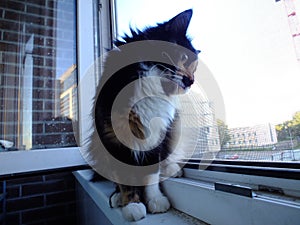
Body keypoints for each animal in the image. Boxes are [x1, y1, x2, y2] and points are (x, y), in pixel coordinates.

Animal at [91, 8, 199, 221]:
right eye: (183, 57)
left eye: (195, 68)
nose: (191, 82)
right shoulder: (113, 139)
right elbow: (124, 179)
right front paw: (132, 205)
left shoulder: (156, 137)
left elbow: (151, 175)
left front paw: (156, 200)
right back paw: (116, 197)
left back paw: (173, 170)